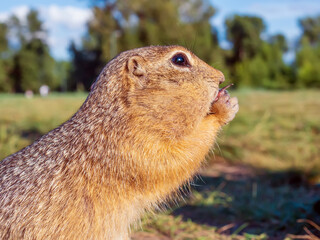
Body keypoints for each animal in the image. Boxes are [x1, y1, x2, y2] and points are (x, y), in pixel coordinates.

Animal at [0, 45, 239, 238]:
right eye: (179, 59)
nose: (221, 77)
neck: (114, 117)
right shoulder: (133, 148)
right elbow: (176, 158)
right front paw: (223, 107)